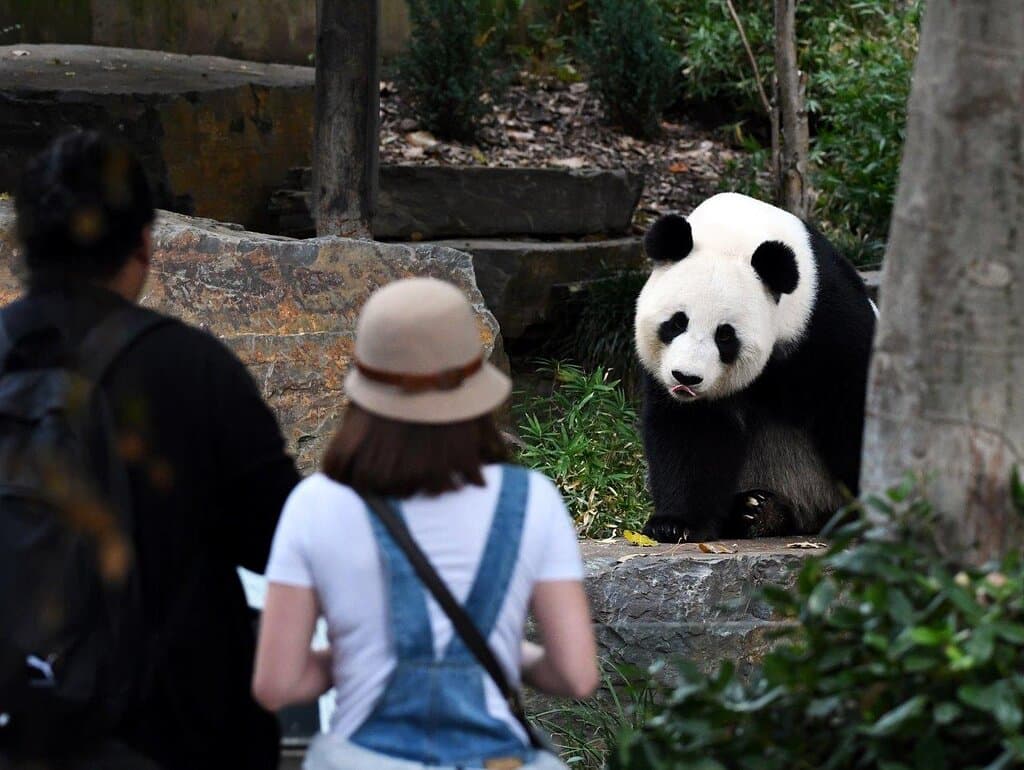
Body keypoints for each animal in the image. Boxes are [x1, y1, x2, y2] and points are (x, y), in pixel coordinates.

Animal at [634, 192, 877, 542]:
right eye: (677, 322)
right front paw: (675, 524)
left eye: (725, 335)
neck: (735, 233)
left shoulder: (827, 320)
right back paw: (756, 510)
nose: (686, 378)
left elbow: (853, 410)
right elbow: (691, 432)